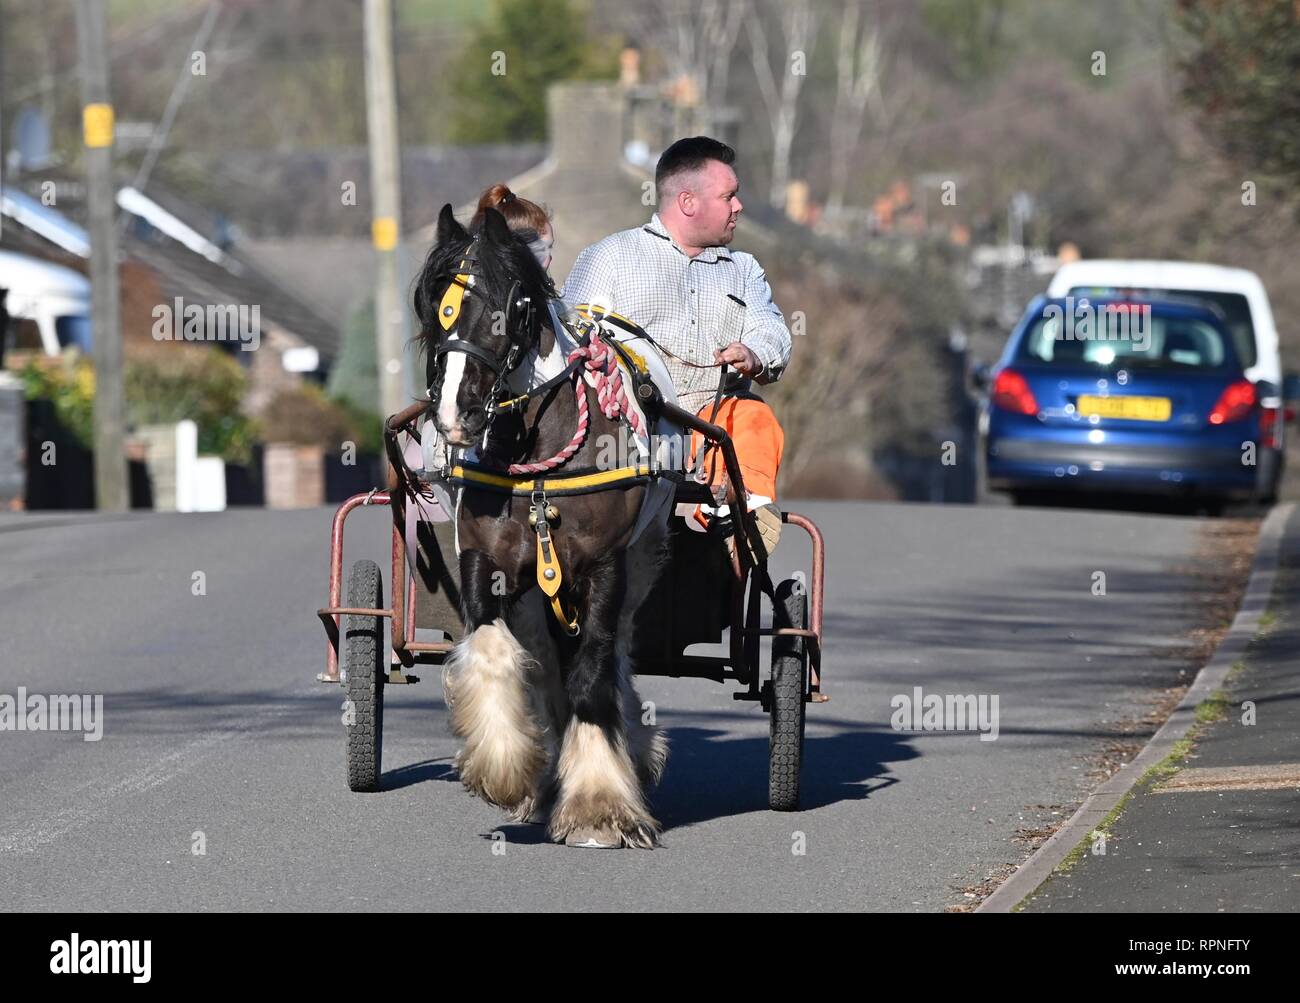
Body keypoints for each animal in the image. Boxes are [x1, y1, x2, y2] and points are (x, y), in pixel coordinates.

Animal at [412, 203, 671, 848]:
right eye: (432, 307)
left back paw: (632, 752)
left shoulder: (606, 565)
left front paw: (601, 806)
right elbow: (494, 654)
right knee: (546, 663)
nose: (455, 414)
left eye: (513, 306)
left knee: (612, 653)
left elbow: (593, 676)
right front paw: (507, 770)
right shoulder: (487, 561)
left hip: (640, 563)